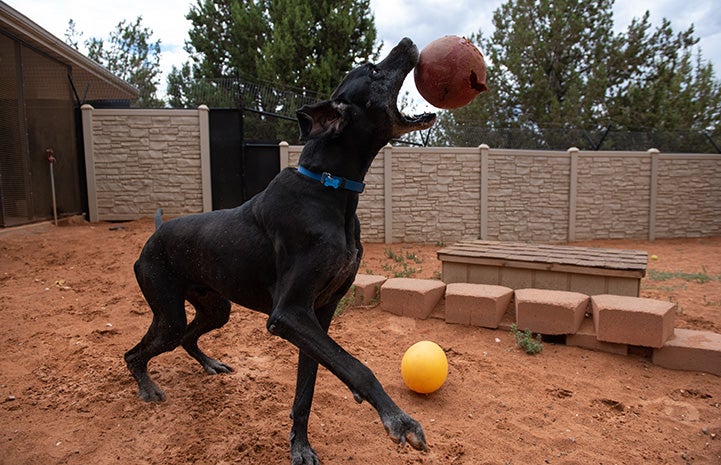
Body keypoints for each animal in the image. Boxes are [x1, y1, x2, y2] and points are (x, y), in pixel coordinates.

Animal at [125, 38, 434, 462]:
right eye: (372, 71)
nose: (407, 42)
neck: (329, 187)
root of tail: (155, 234)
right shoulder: (289, 314)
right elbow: (357, 367)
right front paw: (399, 420)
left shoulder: (318, 315)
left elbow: (307, 389)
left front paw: (299, 444)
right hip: (167, 311)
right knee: (136, 353)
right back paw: (146, 386)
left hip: (216, 307)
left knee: (189, 337)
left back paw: (209, 364)